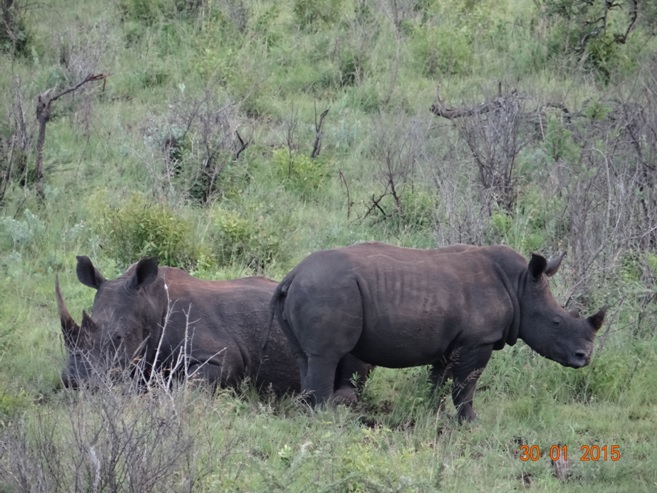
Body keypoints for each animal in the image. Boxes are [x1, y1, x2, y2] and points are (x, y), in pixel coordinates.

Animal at [270, 241, 604, 418]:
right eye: (556, 322)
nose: (584, 357)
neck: (520, 285)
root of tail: (293, 274)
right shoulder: (478, 340)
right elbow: (466, 383)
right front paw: (469, 421)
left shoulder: (451, 342)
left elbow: (439, 381)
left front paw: (430, 412)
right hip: (327, 289)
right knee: (325, 356)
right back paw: (323, 416)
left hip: (312, 290)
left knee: (305, 357)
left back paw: (308, 411)